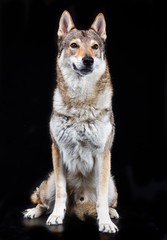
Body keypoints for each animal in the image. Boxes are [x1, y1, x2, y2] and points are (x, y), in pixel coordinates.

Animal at [23, 10, 118, 233]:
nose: (88, 60)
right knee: (42, 201)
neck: (80, 102)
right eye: (74, 45)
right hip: (47, 183)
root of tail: (80, 203)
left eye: (95, 47)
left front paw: (105, 222)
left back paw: (111, 213)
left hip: (112, 184)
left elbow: (101, 199)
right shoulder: (57, 150)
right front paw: (57, 216)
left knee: (106, 201)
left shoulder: (102, 154)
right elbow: (61, 192)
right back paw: (34, 212)